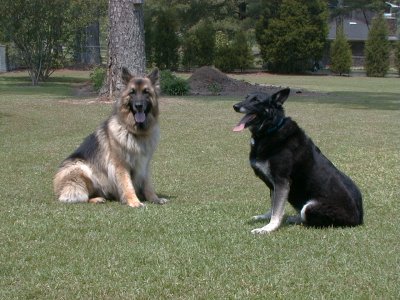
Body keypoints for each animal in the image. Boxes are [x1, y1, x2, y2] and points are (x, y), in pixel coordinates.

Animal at [233, 88, 364, 233]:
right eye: (246, 97)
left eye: (256, 100)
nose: (235, 106)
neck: (271, 129)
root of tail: (359, 219)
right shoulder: (273, 184)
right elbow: (273, 206)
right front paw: (265, 218)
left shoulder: (281, 181)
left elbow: (277, 209)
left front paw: (268, 228)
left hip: (310, 206)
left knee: (307, 218)